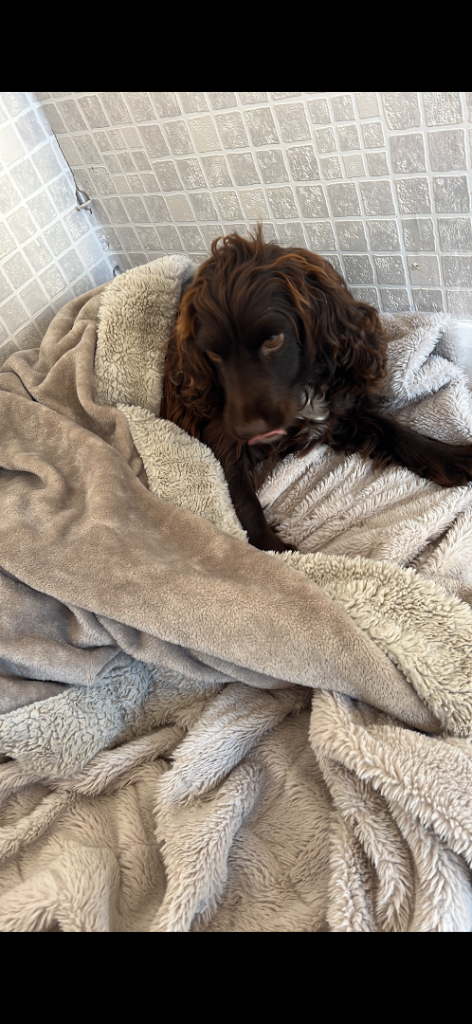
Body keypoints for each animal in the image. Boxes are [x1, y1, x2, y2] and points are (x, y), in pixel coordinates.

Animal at [161, 226, 472, 552]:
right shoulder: (223, 439)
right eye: (213, 353)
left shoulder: (339, 411)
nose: (249, 430)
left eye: (273, 340)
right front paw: (282, 554)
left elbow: (395, 432)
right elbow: (244, 505)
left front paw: (451, 457)